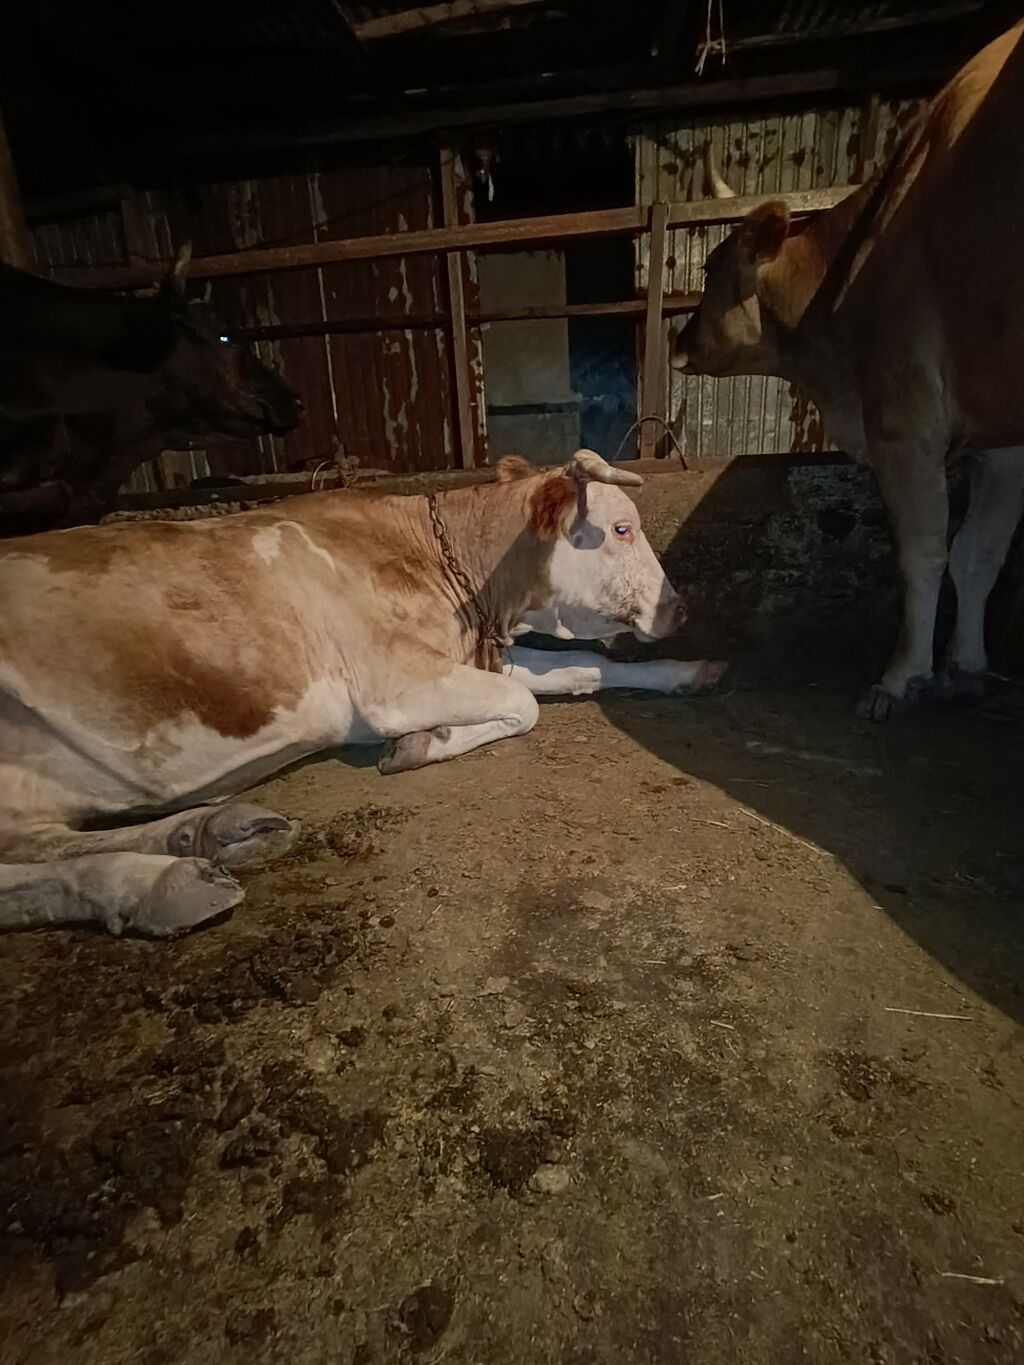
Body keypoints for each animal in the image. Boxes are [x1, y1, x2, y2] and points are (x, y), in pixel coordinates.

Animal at [0, 449, 726, 937]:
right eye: (623, 528)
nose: (683, 608)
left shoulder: (460, 654)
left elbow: (580, 667)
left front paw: (689, 670)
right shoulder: (395, 683)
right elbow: (524, 707)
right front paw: (426, 743)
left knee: (41, 844)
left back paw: (213, 832)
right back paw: (160, 880)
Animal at [671, 21, 1024, 720]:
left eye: (708, 269)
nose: (680, 337)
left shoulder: (905, 419)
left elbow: (928, 553)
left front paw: (901, 678)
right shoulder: (1002, 441)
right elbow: (979, 553)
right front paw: (964, 667)